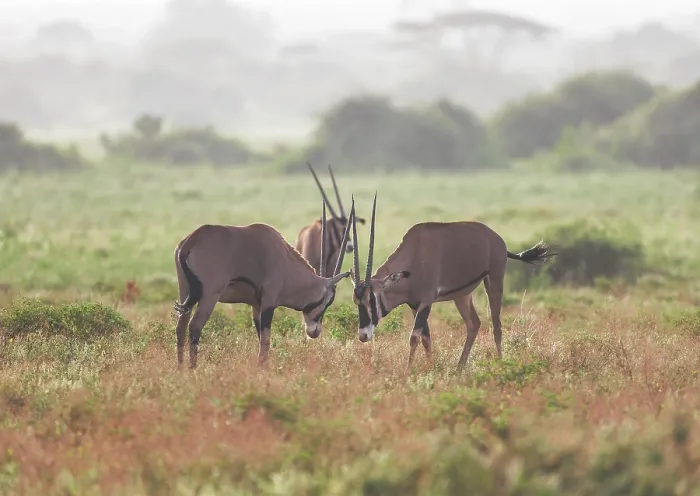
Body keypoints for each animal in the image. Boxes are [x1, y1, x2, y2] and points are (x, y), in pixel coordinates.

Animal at [173, 199, 355, 369]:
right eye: (328, 301)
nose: (314, 332)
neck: (285, 260)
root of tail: (191, 240)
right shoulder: (269, 302)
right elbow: (266, 338)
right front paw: (263, 368)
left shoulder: (256, 305)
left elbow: (260, 335)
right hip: (210, 295)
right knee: (194, 326)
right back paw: (192, 368)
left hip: (185, 291)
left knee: (181, 326)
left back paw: (180, 368)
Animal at [349, 194, 556, 369]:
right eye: (357, 301)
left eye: (372, 299)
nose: (363, 335)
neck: (414, 255)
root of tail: (497, 239)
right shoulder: (415, 305)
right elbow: (425, 338)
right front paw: (430, 367)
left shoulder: (426, 301)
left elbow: (414, 337)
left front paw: (409, 371)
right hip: (462, 295)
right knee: (474, 323)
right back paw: (459, 368)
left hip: (494, 281)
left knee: (496, 326)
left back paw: (500, 364)